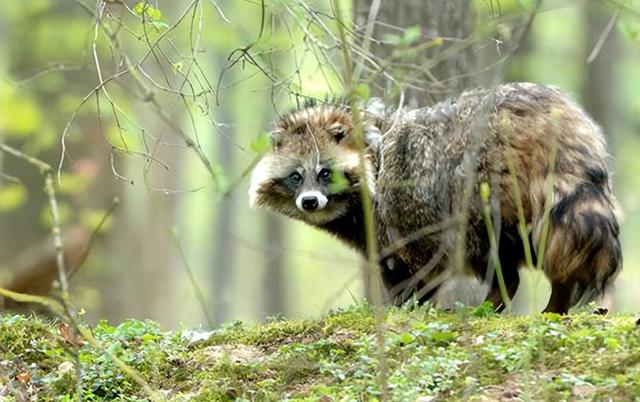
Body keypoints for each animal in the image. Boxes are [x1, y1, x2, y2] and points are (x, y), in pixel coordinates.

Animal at [249, 82, 620, 314]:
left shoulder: (400, 220)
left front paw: (404, 307)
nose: (309, 202)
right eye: (296, 176)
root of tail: (554, 115)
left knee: (497, 253)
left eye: (326, 173)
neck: (372, 145)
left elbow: (414, 270)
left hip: (482, 189)